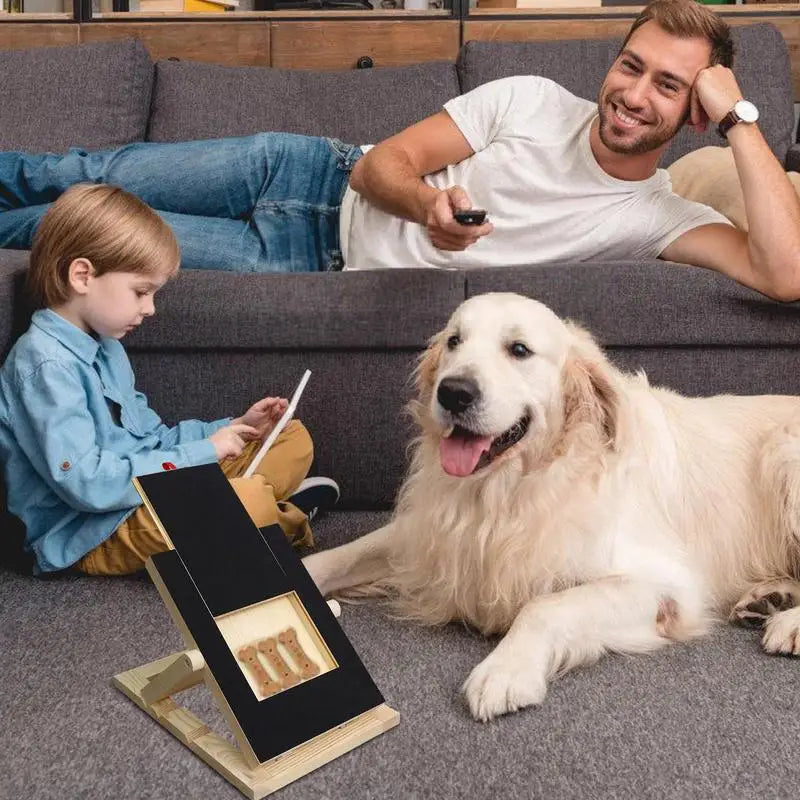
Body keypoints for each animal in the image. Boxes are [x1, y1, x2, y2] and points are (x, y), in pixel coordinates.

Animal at [304, 292, 800, 720]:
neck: (508, 491)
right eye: (454, 341)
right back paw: (768, 598)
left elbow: (546, 606)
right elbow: (341, 555)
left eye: (519, 349)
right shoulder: (426, 532)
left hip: (785, 455)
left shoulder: (667, 587)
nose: (453, 392)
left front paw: (504, 671)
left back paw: (786, 622)